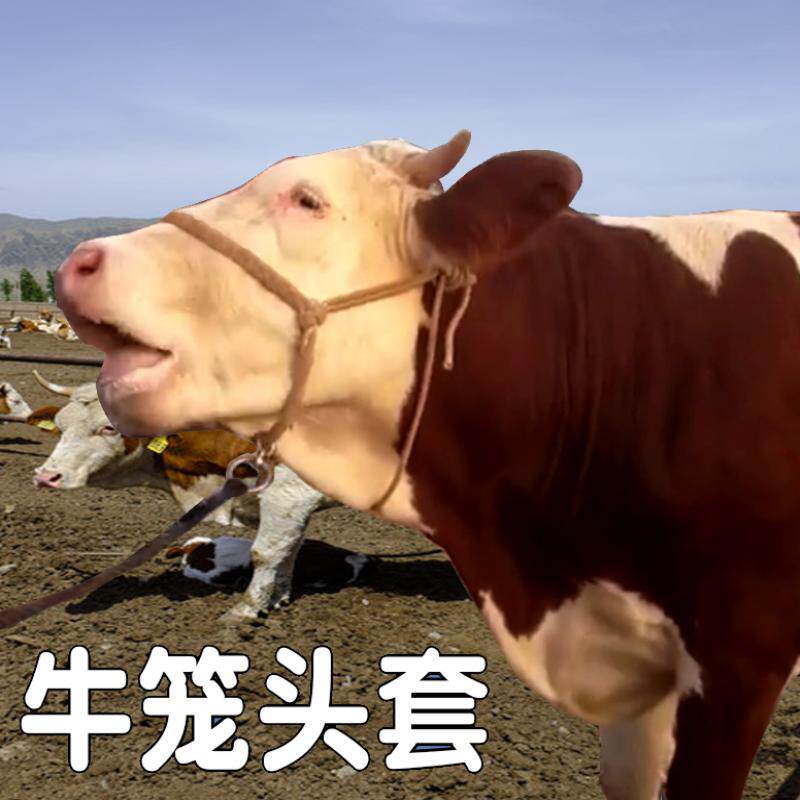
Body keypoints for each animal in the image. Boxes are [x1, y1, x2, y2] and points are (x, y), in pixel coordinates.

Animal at [29, 369, 337, 611]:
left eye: (108, 428)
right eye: (60, 426)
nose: (46, 476)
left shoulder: (289, 496)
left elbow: (267, 553)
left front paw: (247, 611)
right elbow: (289, 551)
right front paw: (278, 599)